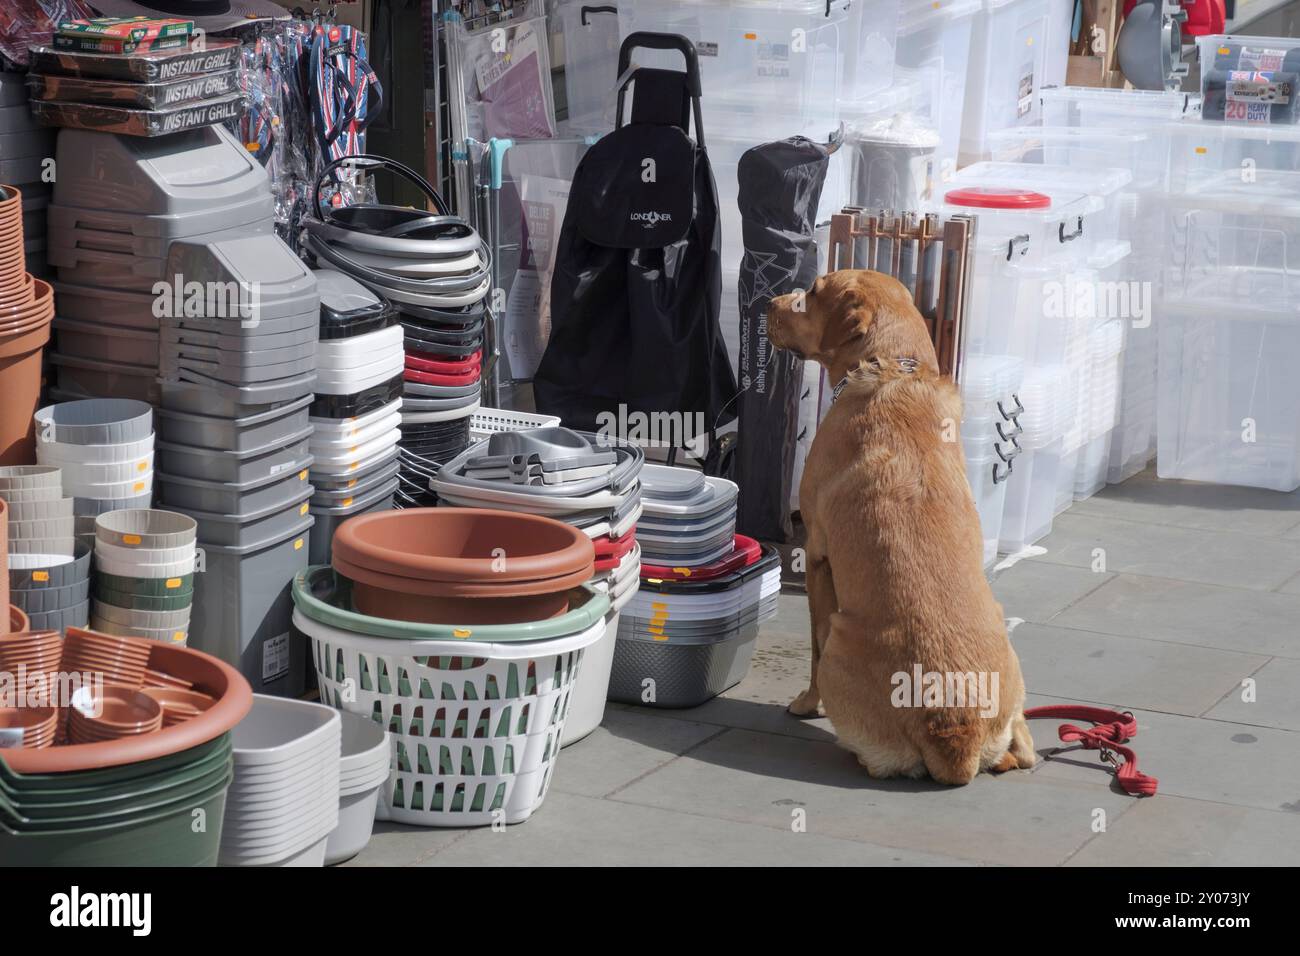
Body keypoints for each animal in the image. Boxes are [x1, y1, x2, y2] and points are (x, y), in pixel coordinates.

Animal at [764, 270, 1029, 785]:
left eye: (812, 292)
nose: (768, 301)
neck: (894, 368)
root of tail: (955, 734)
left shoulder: (817, 555)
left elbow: (813, 648)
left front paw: (805, 704)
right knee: (1026, 750)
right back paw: (1009, 755)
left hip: (843, 639)